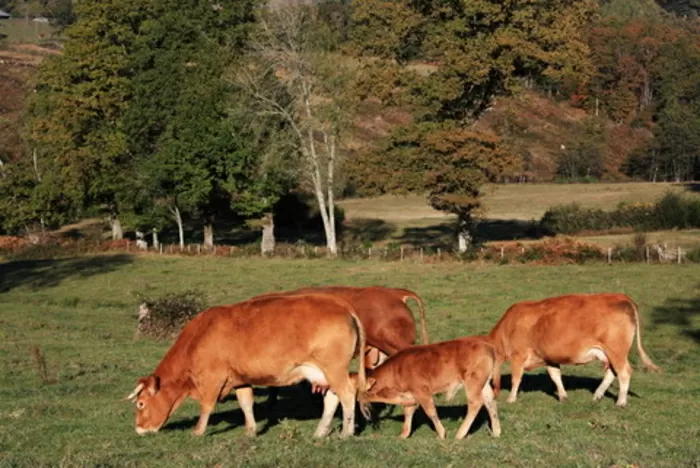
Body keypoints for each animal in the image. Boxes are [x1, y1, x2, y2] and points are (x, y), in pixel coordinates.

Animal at [124, 294, 368, 438]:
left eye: (141, 404)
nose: (139, 429)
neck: (200, 335)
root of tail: (339, 304)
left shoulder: (212, 379)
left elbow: (207, 406)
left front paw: (198, 430)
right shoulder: (240, 379)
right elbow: (246, 403)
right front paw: (250, 430)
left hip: (334, 369)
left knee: (347, 394)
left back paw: (346, 433)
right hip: (323, 373)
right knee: (333, 398)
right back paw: (320, 432)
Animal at [351, 336, 501, 440]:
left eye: (358, 391)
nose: (358, 402)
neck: (397, 369)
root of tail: (487, 346)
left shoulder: (421, 392)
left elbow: (431, 412)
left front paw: (441, 434)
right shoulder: (410, 395)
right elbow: (408, 412)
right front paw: (404, 434)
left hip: (473, 383)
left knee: (475, 403)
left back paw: (460, 434)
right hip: (483, 384)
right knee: (490, 402)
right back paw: (496, 432)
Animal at [488, 293, 661, 407]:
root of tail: (621, 297)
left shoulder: (518, 355)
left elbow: (516, 378)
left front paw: (511, 398)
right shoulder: (549, 358)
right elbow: (555, 376)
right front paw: (563, 396)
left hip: (616, 351)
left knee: (624, 372)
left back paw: (621, 401)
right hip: (609, 353)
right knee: (612, 372)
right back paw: (597, 395)